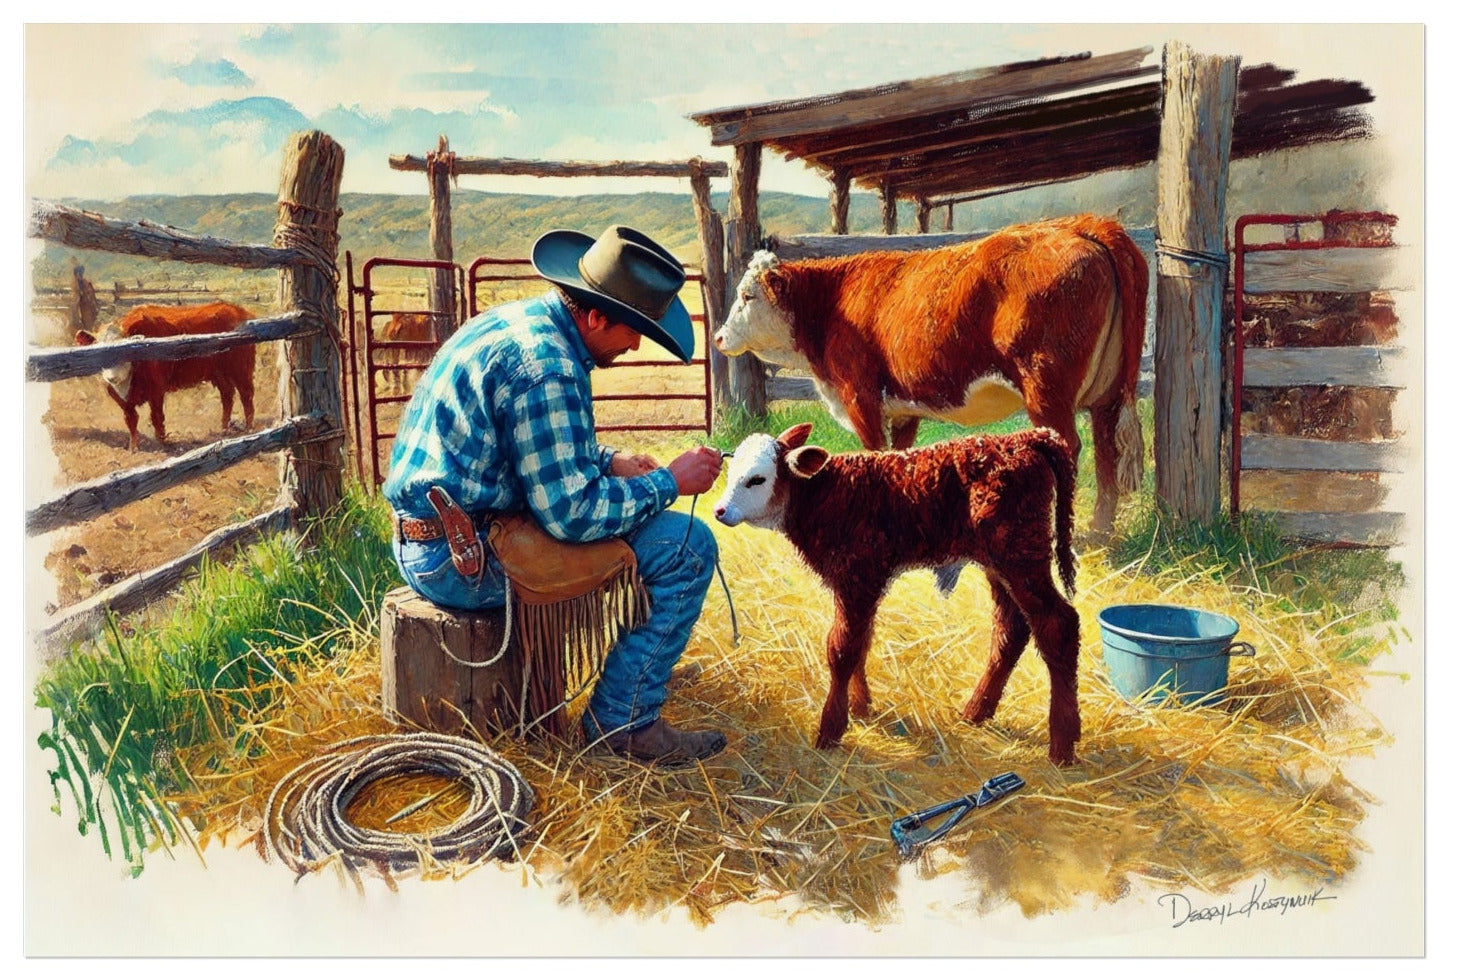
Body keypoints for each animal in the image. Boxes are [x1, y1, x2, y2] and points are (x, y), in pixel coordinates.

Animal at [74, 302, 256, 451]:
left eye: (122, 350)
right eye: (98, 353)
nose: (111, 378)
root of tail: (238, 310)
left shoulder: (156, 390)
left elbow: (157, 417)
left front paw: (162, 443)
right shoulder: (123, 400)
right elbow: (131, 420)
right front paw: (134, 448)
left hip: (241, 370)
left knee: (246, 395)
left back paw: (249, 429)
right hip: (219, 374)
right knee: (227, 396)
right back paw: (224, 429)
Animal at [714, 423, 1082, 766]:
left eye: (757, 479)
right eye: (731, 473)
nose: (719, 511)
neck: (828, 494)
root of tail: (1024, 437)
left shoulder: (858, 576)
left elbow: (842, 648)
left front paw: (831, 729)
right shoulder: (859, 585)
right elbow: (859, 642)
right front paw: (861, 709)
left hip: (1019, 554)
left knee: (1058, 624)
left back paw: (1062, 746)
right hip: (999, 562)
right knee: (1011, 629)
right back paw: (976, 712)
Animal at [715, 214, 1147, 536]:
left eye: (747, 296)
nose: (718, 337)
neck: (833, 301)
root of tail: (1078, 224)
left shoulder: (860, 396)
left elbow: (875, 454)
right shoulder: (903, 408)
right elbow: (898, 458)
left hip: (1045, 388)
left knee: (1071, 447)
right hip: (1106, 394)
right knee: (1107, 448)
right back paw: (1100, 532)